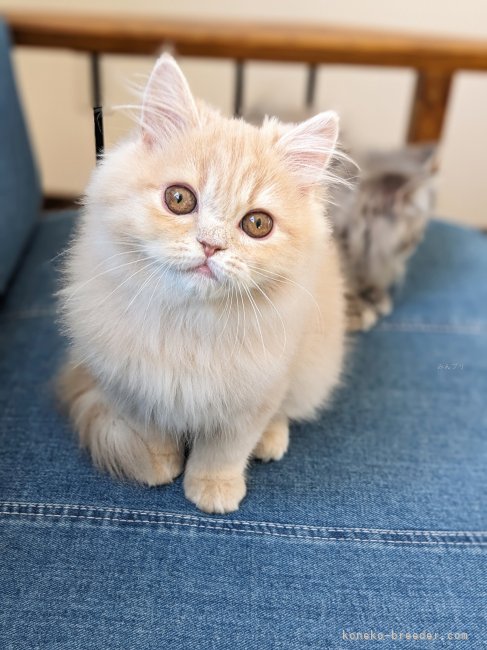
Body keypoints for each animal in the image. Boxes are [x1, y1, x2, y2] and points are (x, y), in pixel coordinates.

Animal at [58, 54, 347, 514]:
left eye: (258, 224)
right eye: (179, 199)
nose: (211, 245)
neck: (189, 324)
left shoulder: (256, 394)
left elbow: (224, 450)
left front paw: (212, 489)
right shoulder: (127, 384)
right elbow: (149, 430)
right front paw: (158, 464)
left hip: (312, 369)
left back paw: (271, 439)